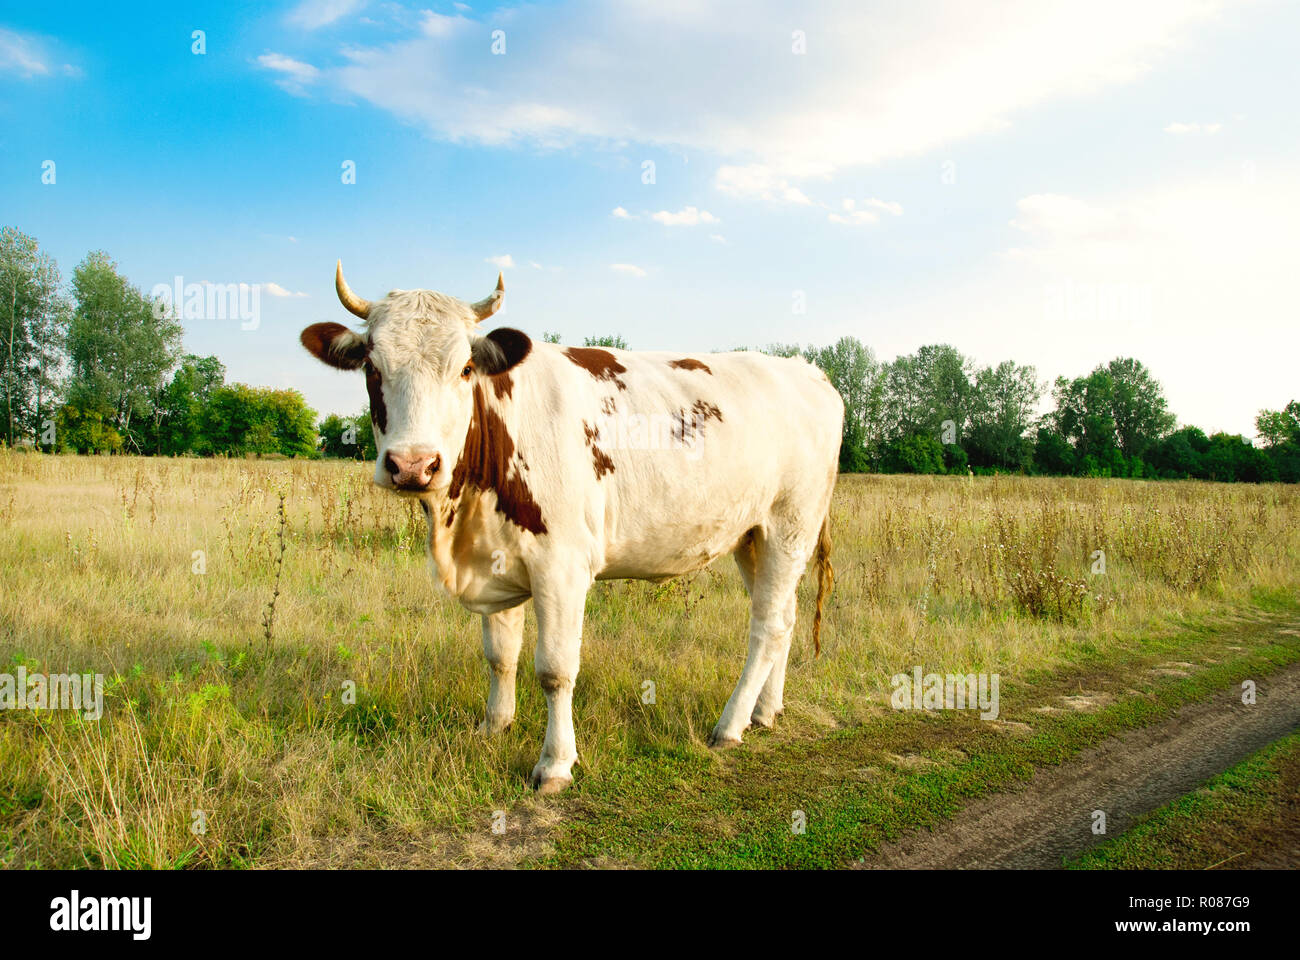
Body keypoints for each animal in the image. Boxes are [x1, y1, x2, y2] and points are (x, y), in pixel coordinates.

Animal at [300, 261, 842, 790]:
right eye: (372, 367)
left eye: (466, 368)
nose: (413, 465)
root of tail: (805, 369)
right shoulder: (495, 554)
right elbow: (500, 654)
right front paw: (494, 726)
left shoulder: (561, 564)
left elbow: (555, 669)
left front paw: (556, 763)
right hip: (752, 536)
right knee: (786, 617)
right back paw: (766, 712)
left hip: (790, 525)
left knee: (767, 627)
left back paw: (731, 725)